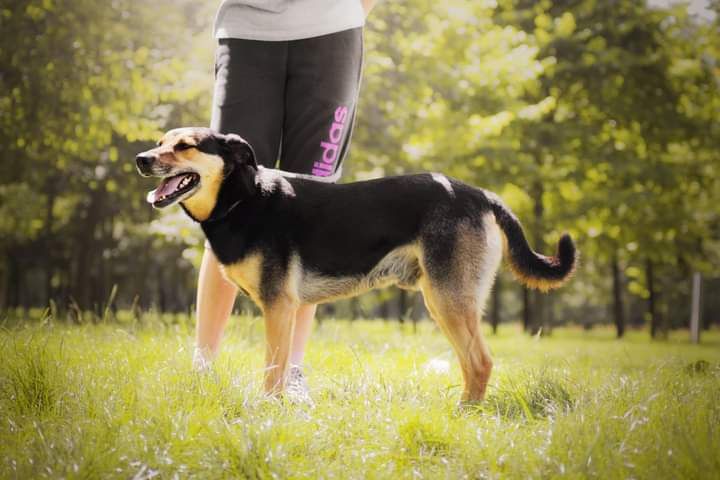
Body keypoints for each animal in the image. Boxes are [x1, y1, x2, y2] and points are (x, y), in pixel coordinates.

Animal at [134, 127, 572, 402]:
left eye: (186, 146)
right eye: (160, 142)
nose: (140, 159)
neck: (243, 197)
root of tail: (482, 195)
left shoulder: (278, 307)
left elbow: (272, 370)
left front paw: (267, 411)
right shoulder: (282, 310)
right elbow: (276, 367)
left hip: (448, 298)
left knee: (480, 362)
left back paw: (465, 416)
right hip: (445, 300)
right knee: (472, 363)